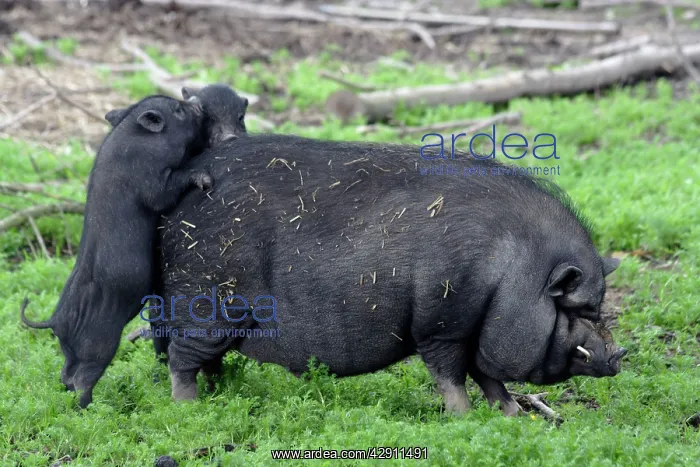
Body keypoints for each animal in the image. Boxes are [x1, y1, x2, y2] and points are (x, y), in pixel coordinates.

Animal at [20, 94, 213, 408]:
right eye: (178, 110)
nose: (197, 101)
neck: (138, 141)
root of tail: (55, 320)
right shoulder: (150, 180)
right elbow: (164, 193)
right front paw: (204, 178)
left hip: (71, 348)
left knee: (66, 373)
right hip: (99, 342)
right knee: (83, 376)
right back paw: (89, 407)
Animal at [145, 133, 623, 412]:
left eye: (598, 308)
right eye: (577, 308)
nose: (620, 353)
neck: (509, 272)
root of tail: (172, 215)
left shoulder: (474, 328)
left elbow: (488, 377)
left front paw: (512, 415)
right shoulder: (441, 324)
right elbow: (451, 375)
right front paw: (464, 418)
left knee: (207, 360)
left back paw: (223, 395)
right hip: (207, 302)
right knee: (181, 359)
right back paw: (190, 410)